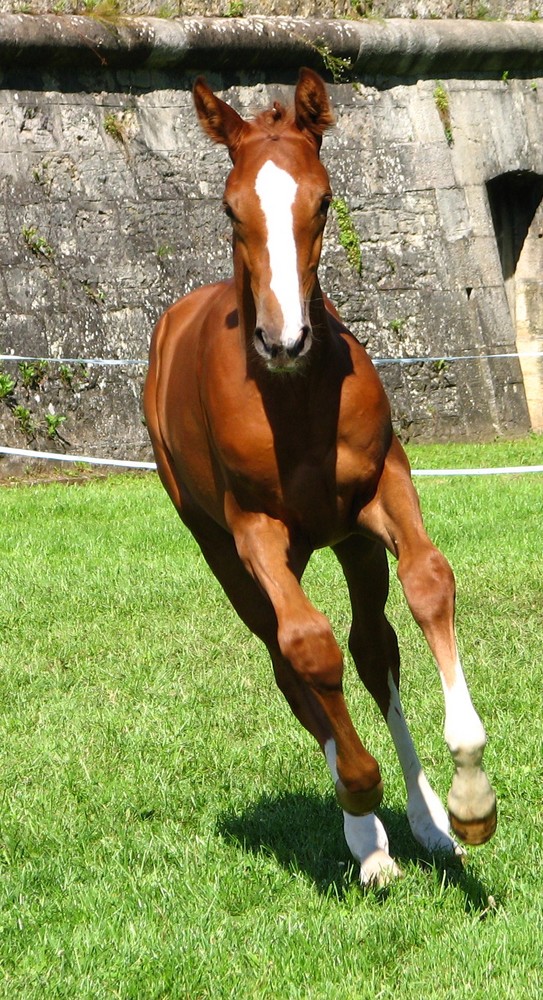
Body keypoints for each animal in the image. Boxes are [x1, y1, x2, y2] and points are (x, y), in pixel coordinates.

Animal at [144, 68, 498, 884]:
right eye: (230, 206)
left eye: (325, 199)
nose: (284, 339)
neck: (296, 398)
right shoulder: (253, 529)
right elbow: (307, 647)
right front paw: (362, 803)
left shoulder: (381, 489)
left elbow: (429, 583)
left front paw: (468, 798)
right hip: (224, 550)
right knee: (287, 656)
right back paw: (367, 835)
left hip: (349, 541)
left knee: (371, 649)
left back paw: (427, 821)